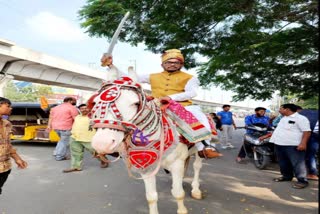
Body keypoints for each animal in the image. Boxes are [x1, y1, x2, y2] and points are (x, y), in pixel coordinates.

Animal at [89, 76, 205, 213]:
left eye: (135, 103)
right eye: (95, 102)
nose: (102, 143)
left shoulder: (176, 164)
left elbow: (178, 193)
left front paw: (182, 210)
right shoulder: (147, 168)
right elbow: (151, 197)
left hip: (198, 151)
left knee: (197, 166)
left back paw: (196, 190)